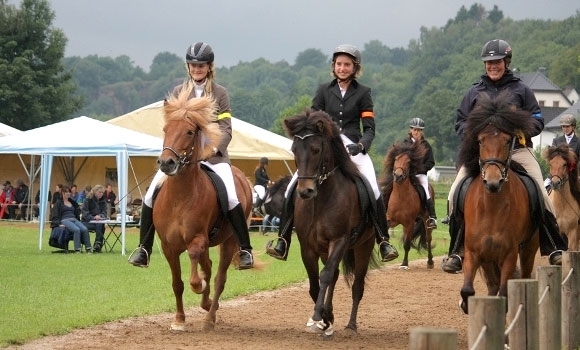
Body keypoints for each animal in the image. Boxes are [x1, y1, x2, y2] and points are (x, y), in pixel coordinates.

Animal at [153, 87, 253, 330]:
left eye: (189, 132)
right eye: (166, 129)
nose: (166, 163)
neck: (179, 198)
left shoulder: (198, 239)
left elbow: (196, 273)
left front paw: (199, 287)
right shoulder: (168, 246)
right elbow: (177, 283)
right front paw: (179, 319)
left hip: (229, 241)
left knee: (218, 278)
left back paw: (209, 318)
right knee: (208, 266)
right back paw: (207, 306)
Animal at [284, 108, 378, 336]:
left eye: (316, 149)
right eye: (294, 150)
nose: (305, 192)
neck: (321, 199)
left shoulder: (340, 240)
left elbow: (325, 276)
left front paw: (320, 316)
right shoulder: (307, 246)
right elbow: (315, 283)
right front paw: (324, 318)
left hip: (364, 245)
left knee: (357, 285)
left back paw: (351, 325)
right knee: (334, 275)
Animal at [378, 141, 432, 270]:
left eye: (408, 161)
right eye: (396, 159)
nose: (398, 176)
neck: (401, 197)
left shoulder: (410, 223)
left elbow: (407, 244)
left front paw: (404, 263)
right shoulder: (390, 220)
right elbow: (385, 236)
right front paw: (388, 253)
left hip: (426, 220)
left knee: (428, 239)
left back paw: (430, 262)